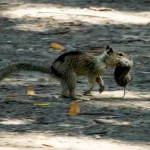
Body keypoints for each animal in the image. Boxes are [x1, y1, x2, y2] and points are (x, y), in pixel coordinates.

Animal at [0, 45, 131, 99]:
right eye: (120, 54)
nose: (130, 58)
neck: (103, 61)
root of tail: (52, 69)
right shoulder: (92, 71)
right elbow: (92, 82)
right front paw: (87, 90)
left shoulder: (97, 73)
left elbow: (99, 80)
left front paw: (102, 88)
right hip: (71, 76)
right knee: (71, 90)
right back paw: (77, 97)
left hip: (64, 78)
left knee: (63, 90)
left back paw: (65, 95)